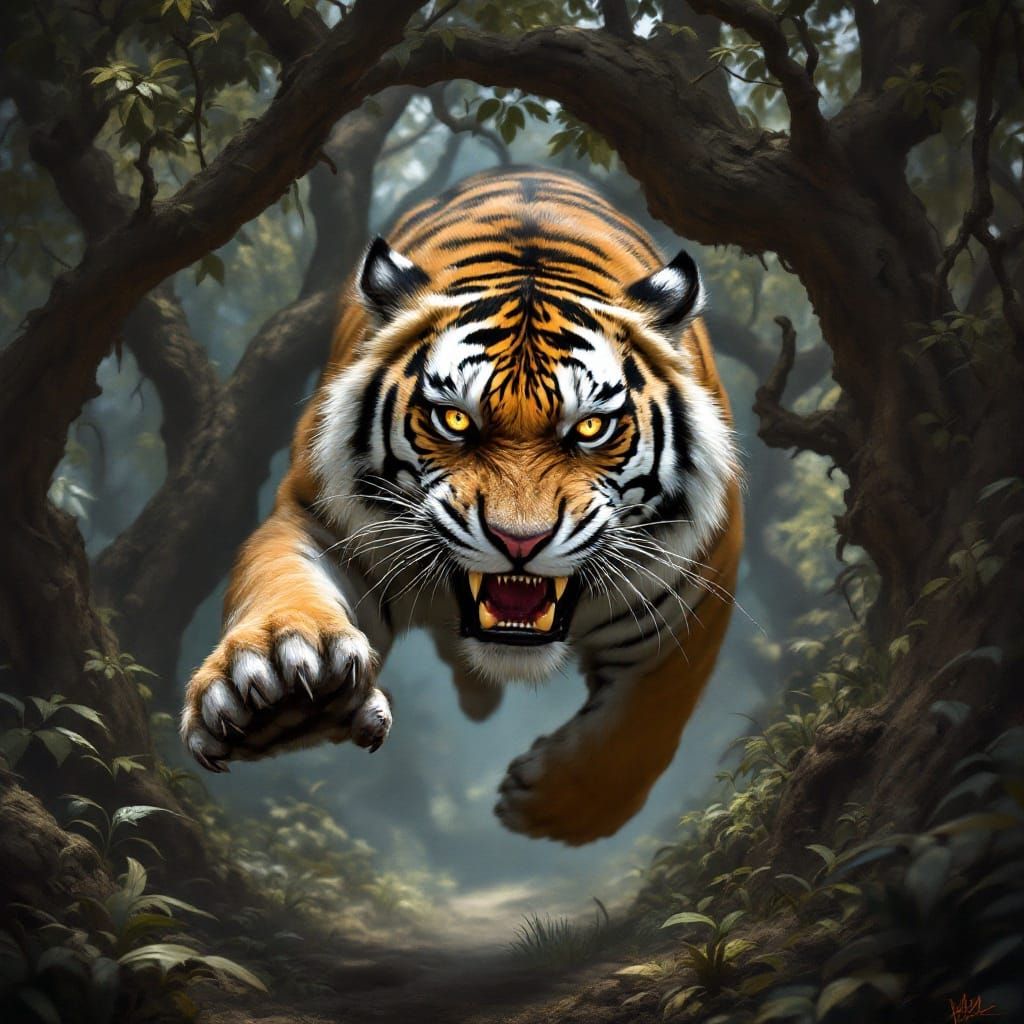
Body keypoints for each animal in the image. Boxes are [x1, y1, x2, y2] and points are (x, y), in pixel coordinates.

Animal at [180, 167, 742, 845]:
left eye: (590, 428)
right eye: (454, 420)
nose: (519, 541)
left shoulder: (699, 588)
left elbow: (647, 721)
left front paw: (549, 808)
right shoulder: (315, 518)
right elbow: (280, 584)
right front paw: (282, 692)